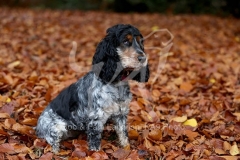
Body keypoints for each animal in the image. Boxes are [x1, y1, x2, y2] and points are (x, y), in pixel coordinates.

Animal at [35, 23, 149, 152]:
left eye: (141, 42)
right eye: (125, 41)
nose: (143, 58)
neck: (116, 83)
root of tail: (37, 128)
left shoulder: (121, 114)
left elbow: (123, 135)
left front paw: (127, 149)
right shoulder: (96, 119)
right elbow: (95, 143)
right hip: (56, 128)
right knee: (53, 145)